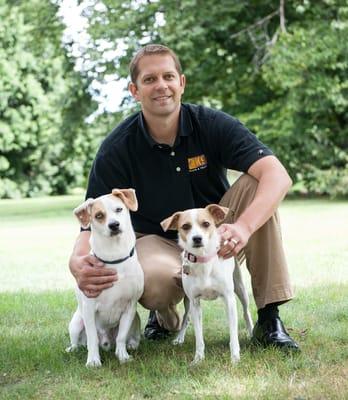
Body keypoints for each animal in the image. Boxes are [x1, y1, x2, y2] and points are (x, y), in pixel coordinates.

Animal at [66, 189, 144, 368]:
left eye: (119, 209)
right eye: (99, 215)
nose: (114, 225)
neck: (115, 257)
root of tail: (107, 342)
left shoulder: (130, 307)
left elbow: (121, 336)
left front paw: (123, 356)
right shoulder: (89, 308)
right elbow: (92, 338)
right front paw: (93, 360)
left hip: (136, 319)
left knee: (130, 337)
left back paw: (132, 345)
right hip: (76, 322)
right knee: (79, 341)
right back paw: (73, 349)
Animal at [160, 205, 253, 364]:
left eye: (206, 224)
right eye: (185, 226)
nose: (197, 238)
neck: (203, 261)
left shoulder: (229, 299)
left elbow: (233, 333)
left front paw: (235, 357)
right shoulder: (194, 302)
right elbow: (199, 337)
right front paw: (198, 359)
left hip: (240, 289)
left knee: (246, 312)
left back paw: (252, 332)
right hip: (187, 302)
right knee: (186, 318)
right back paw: (179, 338)